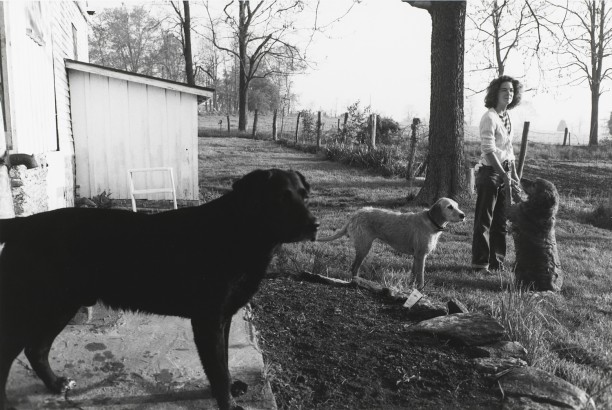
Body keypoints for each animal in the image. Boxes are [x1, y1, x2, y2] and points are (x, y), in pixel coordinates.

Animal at [1, 167, 320, 410]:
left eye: (305, 196)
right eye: (280, 198)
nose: (315, 224)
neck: (238, 232)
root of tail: (22, 224)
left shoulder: (224, 318)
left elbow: (225, 366)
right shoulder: (208, 321)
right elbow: (218, 371)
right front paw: (227, 402)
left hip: (60, 306)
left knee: (36, 349)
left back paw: (56, 384)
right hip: (32, 308)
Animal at [318, 198, 466, 288]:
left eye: (457, 206)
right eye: (449, 207)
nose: (463, 215)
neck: (431, 221)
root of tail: (355, 214)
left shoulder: (416, 256)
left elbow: (413, 275)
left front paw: (410, 289)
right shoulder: (421, 255)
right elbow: (420, 278)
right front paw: (420, 292)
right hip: (364, 247)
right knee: (354, 268)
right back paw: (357, 282)